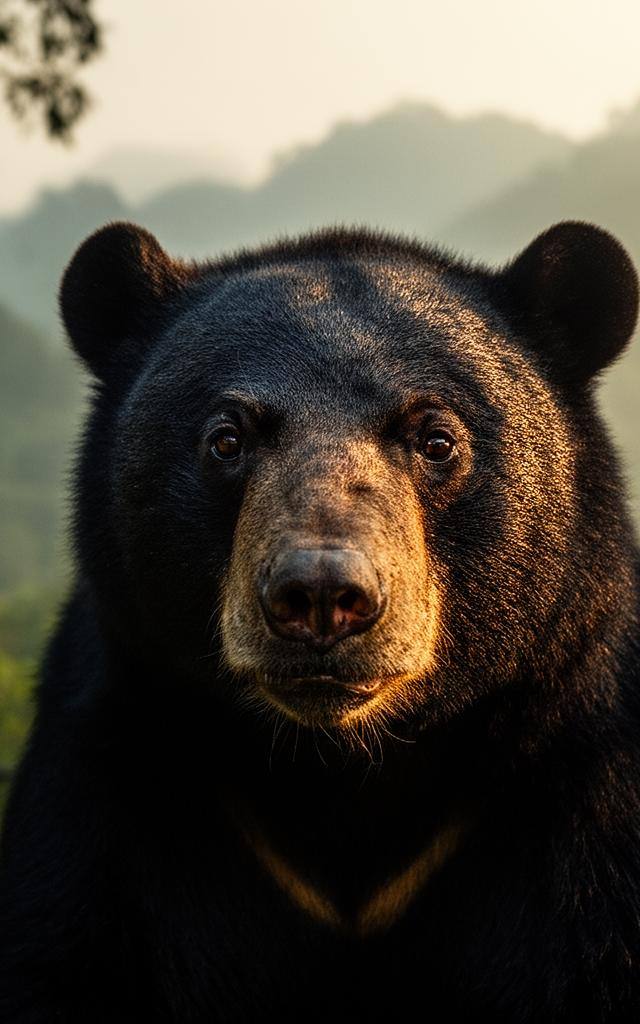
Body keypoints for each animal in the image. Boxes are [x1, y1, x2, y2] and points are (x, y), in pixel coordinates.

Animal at [1, 218, 639, 1023]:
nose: (322, 596)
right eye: (227, 438)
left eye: (437, 440)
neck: (336, 776)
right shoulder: (107, 782)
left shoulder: (579, 782)